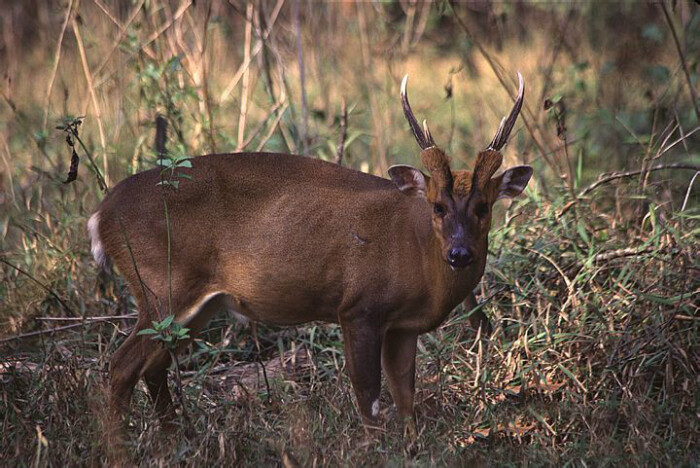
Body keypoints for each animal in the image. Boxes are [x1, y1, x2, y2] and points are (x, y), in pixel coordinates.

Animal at [91, 72, 532, 436]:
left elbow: (406, 400)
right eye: (438, 206)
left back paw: (174, 440)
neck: (417, 252)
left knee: (154, 368)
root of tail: (101, 213)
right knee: (120, 366)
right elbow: (370, 400)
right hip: (161, 284)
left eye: (484, 207)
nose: (459, 253)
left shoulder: (403, 326)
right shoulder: (358, 307)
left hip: (196, 305)